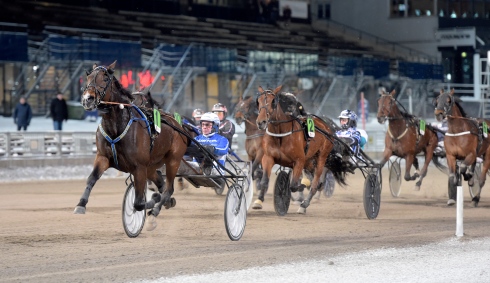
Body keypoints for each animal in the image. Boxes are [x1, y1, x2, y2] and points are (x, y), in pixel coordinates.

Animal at [75, 61, 189, 226]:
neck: (116, 127)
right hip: (152, 165)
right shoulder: (103, 157)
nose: (88, 99)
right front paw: (81, 204)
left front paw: (150, 203)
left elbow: (138, 203)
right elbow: (92, 178)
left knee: (168, 189)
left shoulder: (139, 167)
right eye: (88, 77)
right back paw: (166, 201)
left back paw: (156, 209)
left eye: (105, 78)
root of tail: (177, 125)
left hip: (173, 160)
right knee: (162, 184)